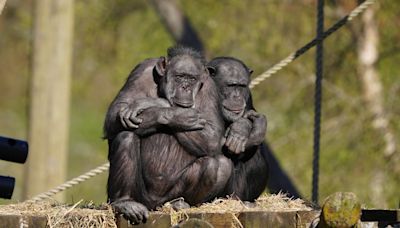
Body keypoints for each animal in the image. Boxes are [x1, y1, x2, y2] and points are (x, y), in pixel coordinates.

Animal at [104, 46, 233, 224]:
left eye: (191, 79)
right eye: (180, 77)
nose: (185, 87)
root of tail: (156, 206)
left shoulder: (210, 88)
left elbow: (212, 136)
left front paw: (153, 103)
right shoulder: (141, 72)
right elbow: (116, 112)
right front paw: (173, 113)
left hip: (169, 196)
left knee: (219, 165)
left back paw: (180, 204)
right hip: (142, 197)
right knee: (125, 135)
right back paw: (125, 203)